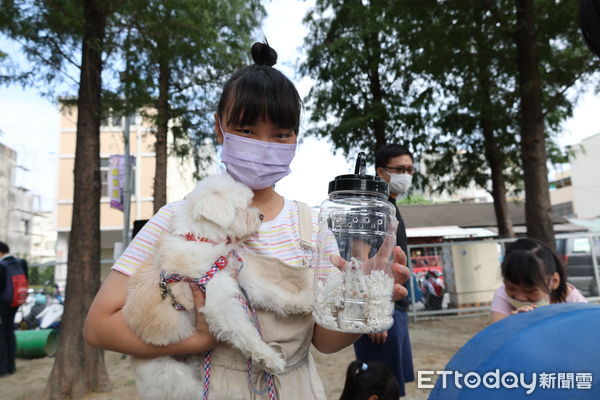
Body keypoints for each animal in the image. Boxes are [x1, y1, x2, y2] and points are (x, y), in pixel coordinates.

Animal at [121, 174, 300, 400]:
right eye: (241, 208)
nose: (261, 215)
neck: (205, 240)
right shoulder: (220, 303)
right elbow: (246, 332)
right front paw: (271, 358)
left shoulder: (239, 279)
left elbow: (272, 294)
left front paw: (302, 303)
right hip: (174, 378)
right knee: (199, 392)